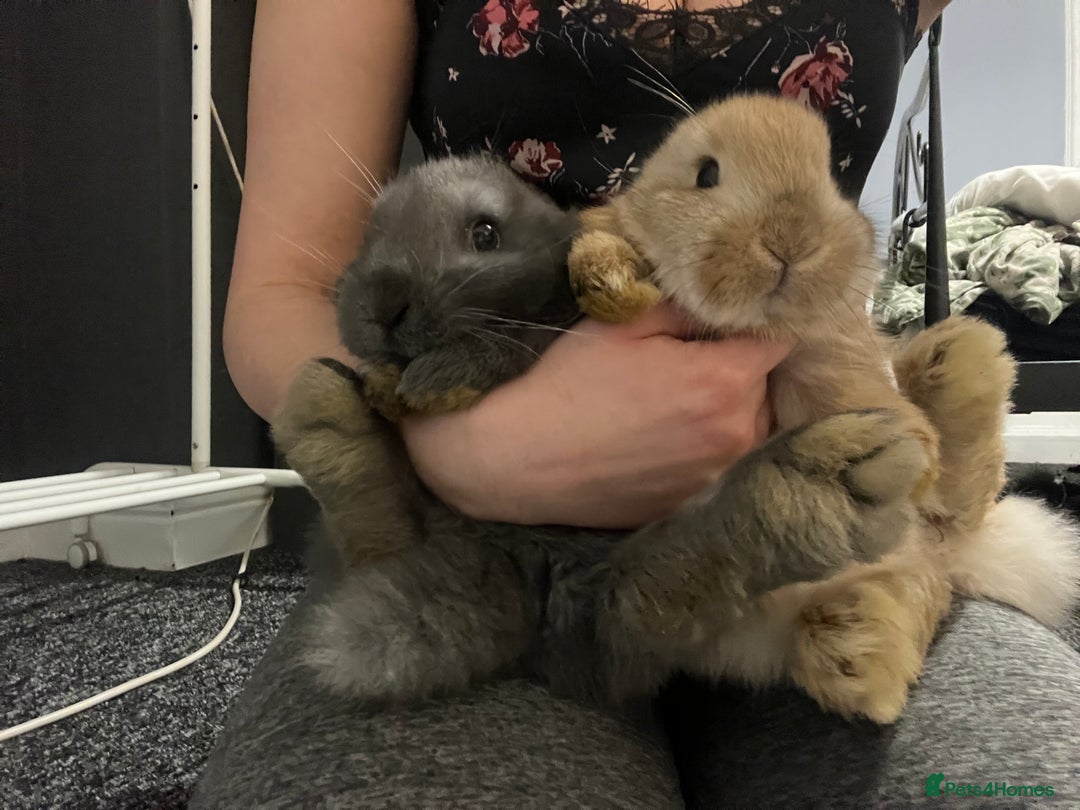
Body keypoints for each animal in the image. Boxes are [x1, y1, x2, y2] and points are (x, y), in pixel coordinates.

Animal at [567, 93, 1080, 722]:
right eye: (706, 174)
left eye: (831, 177)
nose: (791, 241)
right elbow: (606, 237)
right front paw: (613, 284)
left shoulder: (827, 343)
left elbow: (850, 386)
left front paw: (911, 454)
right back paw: (858, 650)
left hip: (933, 533)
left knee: (959, 506)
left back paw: (961, 361)